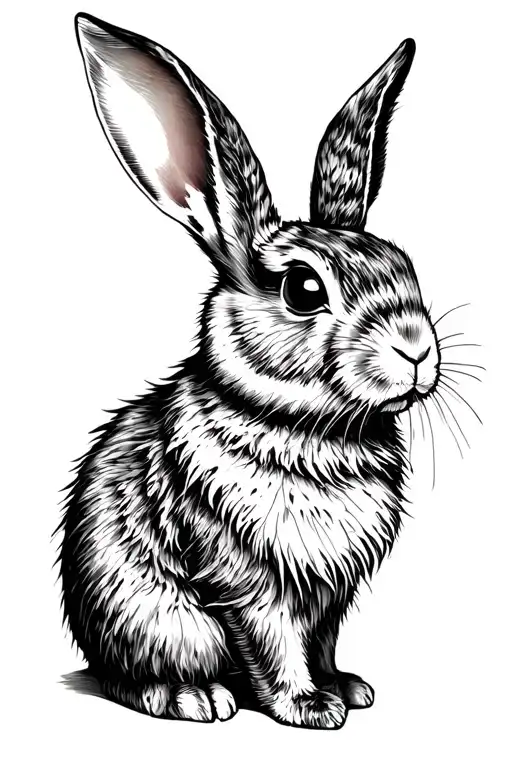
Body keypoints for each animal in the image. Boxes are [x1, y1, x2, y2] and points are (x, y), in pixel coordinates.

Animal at [59, 12, 440, 729]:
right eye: (303, 289)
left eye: (403, 264)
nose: (416, 349)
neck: (309, 429)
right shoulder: (246, 582)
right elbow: (273, 645)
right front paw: (310, 708)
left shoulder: (330, 597)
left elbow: (321, 642)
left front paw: (346, 688)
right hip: (158, 622)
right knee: (130, 678)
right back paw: (195, 697)